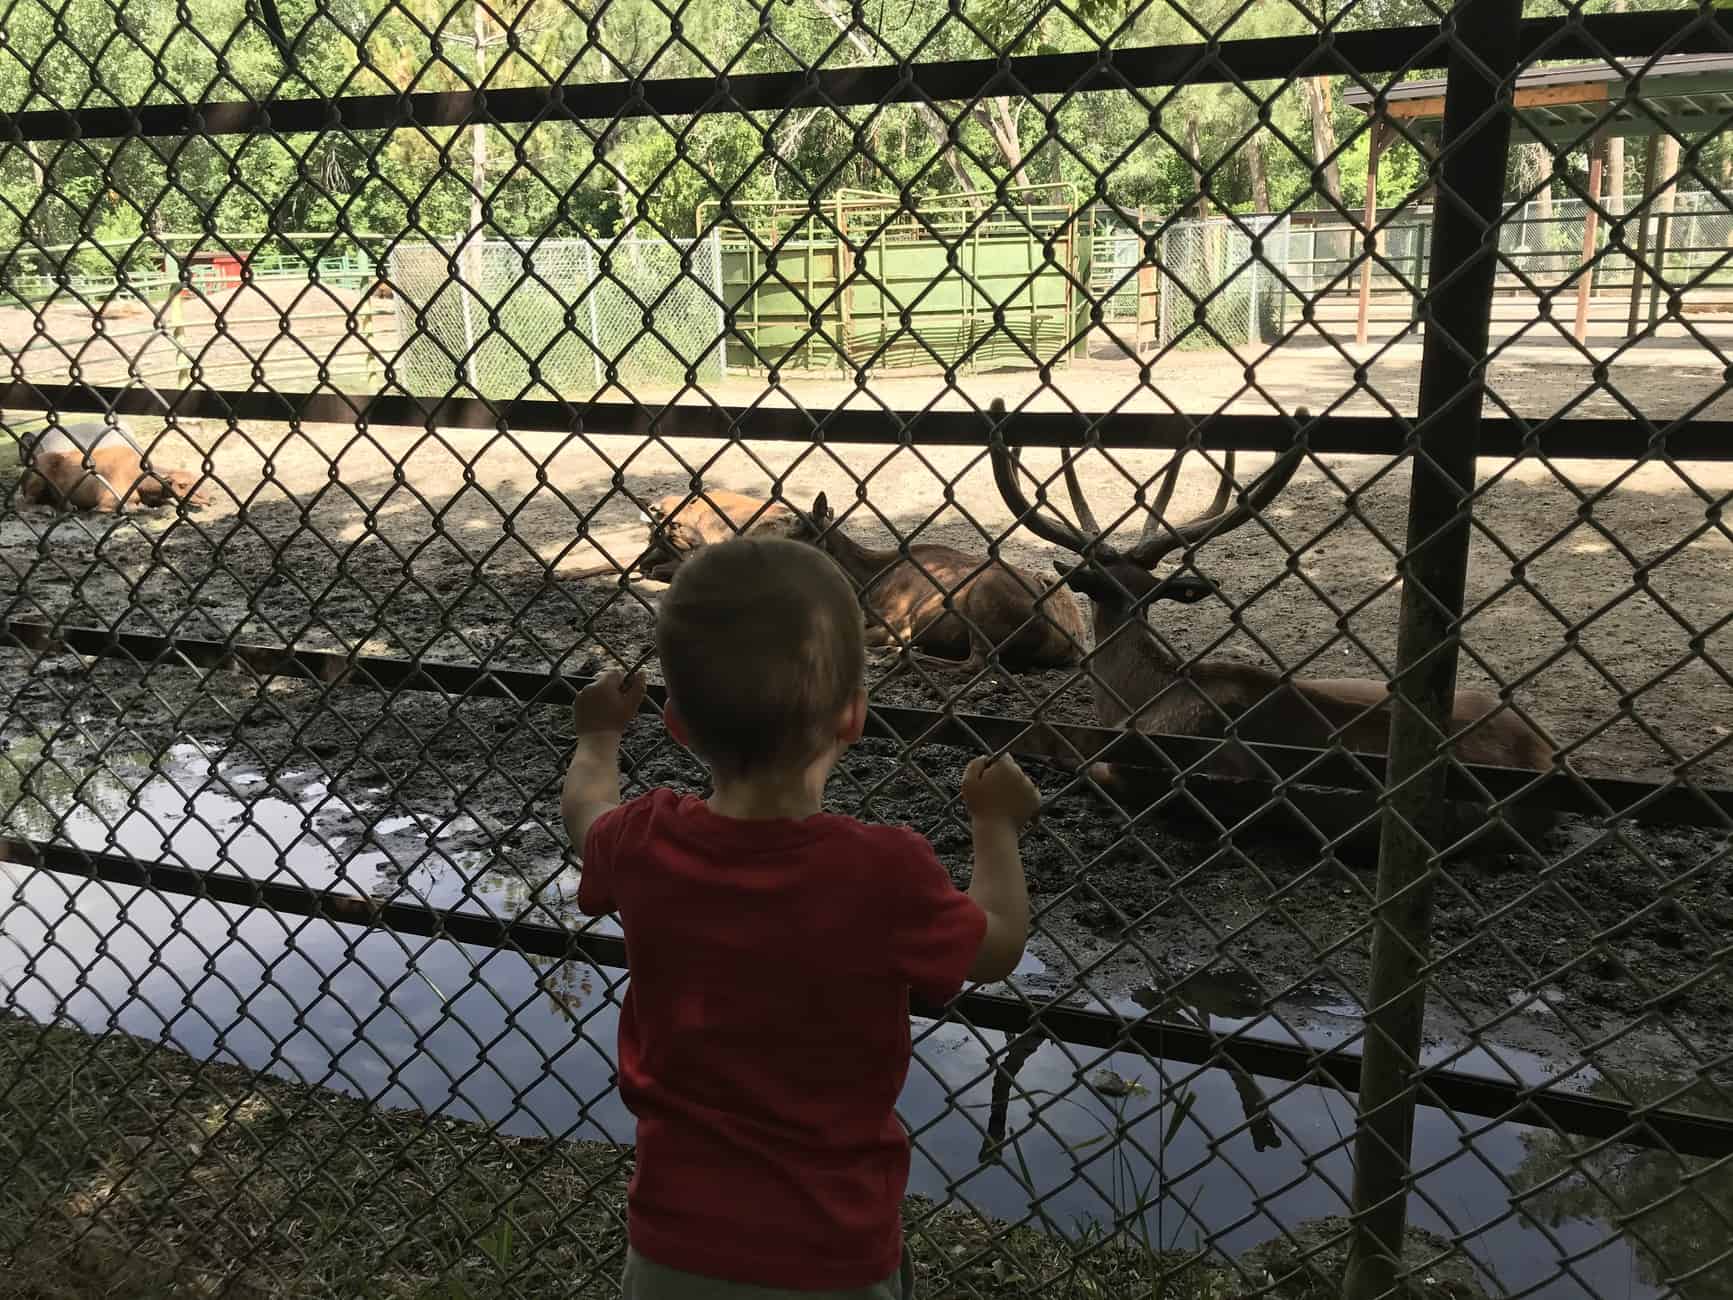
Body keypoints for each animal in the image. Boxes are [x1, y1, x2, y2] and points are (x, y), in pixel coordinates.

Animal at [19, 422, 209, 513]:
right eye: (182, 485)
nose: (209, 499)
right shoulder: (109, 500)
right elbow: (134, 507)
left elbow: (167, 502)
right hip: (37, 481)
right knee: (24, 503)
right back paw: (47, 510)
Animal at [793, 488, 1088, 672]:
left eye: (802, 530)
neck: (870, 585)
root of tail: (1073, 641)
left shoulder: (899, 621)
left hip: (984, 597)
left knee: (975, 664)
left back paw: (897, 658)